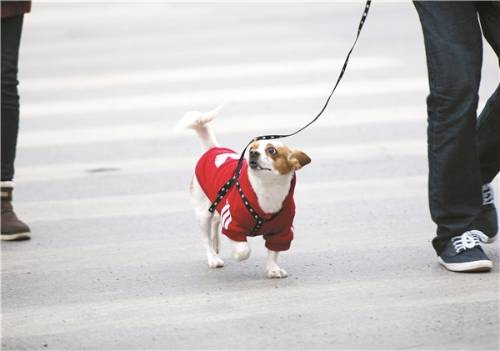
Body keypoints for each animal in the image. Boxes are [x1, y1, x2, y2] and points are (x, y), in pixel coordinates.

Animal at [180, 106, 310, 280]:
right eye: (252, 149)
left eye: (271, 150)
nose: (253, 154)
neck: (267, 189)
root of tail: (213, 149)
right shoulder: (232, 225)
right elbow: (244, 249)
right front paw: (237, 254)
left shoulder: (282, 231)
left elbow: (273, 251)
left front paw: (273, 269)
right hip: (203, 213)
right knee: (206, 237)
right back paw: (213, 258)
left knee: (215, 222)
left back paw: (216, 245)